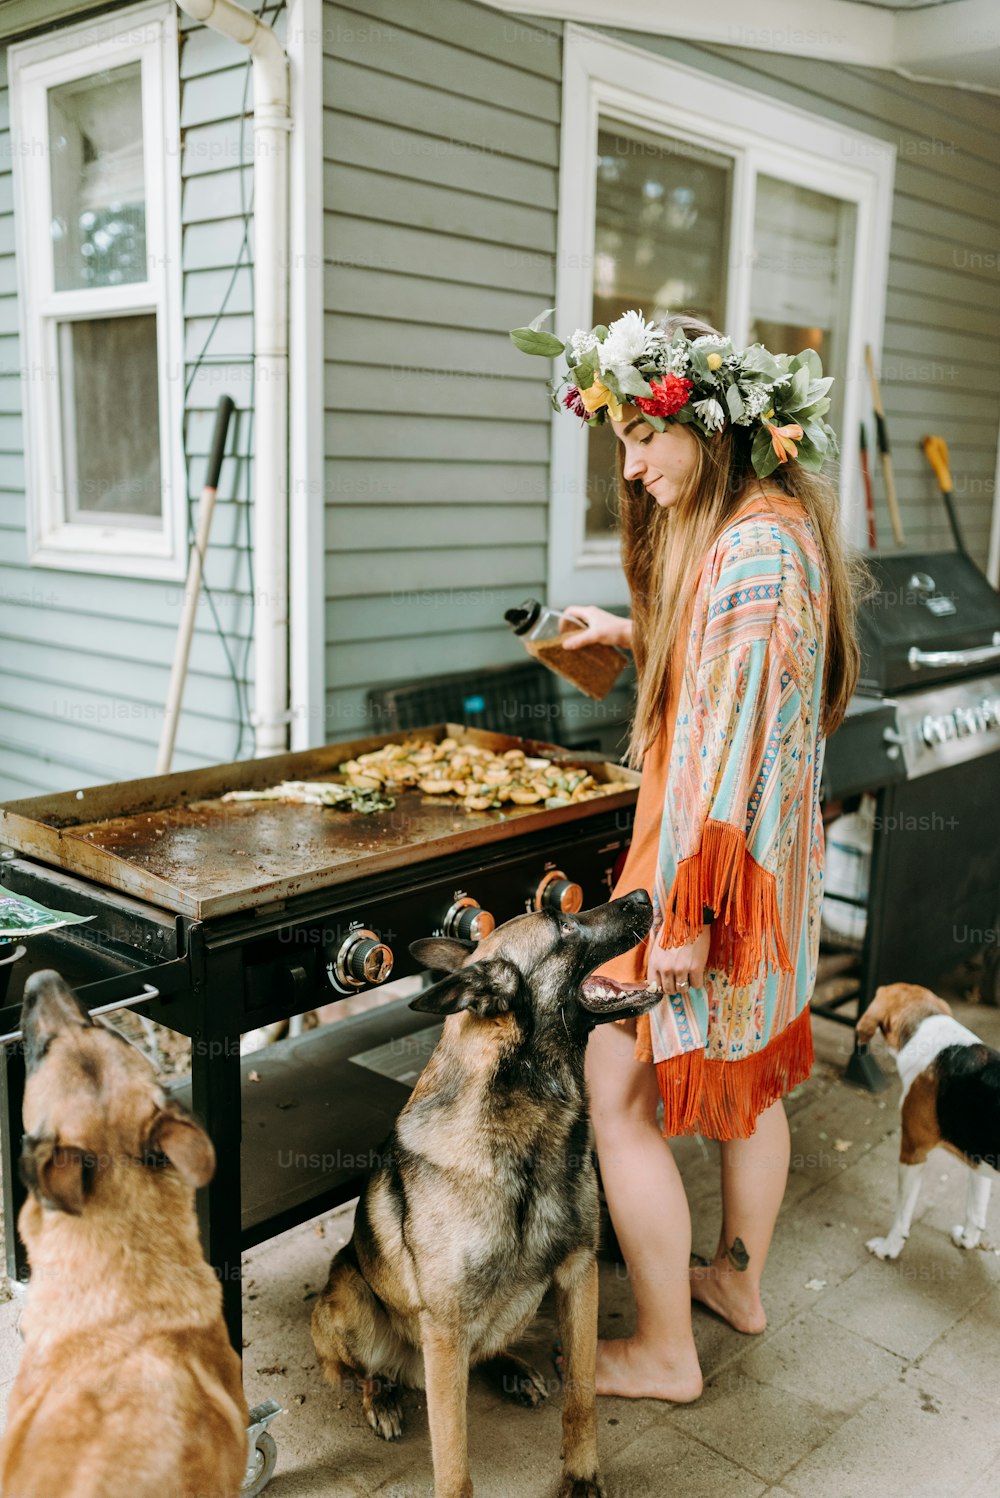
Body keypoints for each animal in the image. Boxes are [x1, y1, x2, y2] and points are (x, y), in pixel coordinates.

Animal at [312, 886, 655, 1498]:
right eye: (563, 925)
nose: (642, 894)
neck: (528, 1138)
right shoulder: (446, 1331)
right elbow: (453, 1466)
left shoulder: (579, 1275)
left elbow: (582, 1396)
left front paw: (582, 1476)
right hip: (350, 1303)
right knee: (366, 1370)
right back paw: (383, 1397)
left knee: (487, 1350)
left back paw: (511, 1368)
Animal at [850, 976, 999, 1258]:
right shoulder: (978, 1156)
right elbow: (975, 1210)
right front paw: (968, 1240)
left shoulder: (912, 1151)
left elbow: (902, 1214)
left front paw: (890, 1247)